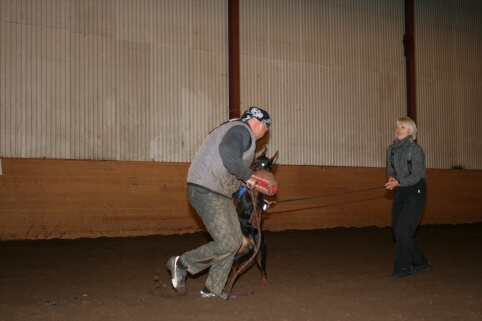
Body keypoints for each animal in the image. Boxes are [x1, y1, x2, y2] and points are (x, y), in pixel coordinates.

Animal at [223, 148, 276, 296]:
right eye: (256, 160)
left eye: (264, 164)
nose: (251, 168)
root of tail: (249, 242)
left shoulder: (257, 202)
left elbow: (257, 209)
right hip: (237, 255)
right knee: (234, 272)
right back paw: (228, 286)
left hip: (260, 254)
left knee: (263, 272)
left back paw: (266, 285)